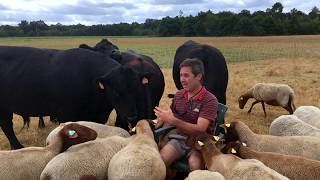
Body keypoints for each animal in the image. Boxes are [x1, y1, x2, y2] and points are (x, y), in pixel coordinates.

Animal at [0, 45, 148, 149]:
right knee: (7, 126)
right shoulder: (65, 113)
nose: (131, 116)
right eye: (116, 91)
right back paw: (18, 147)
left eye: (136, 89)